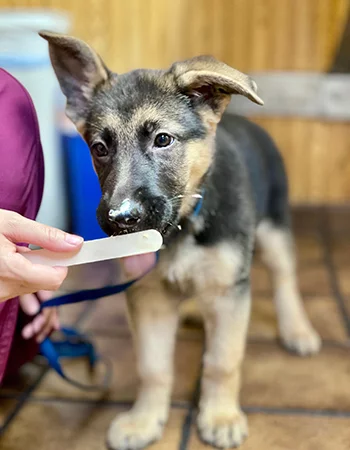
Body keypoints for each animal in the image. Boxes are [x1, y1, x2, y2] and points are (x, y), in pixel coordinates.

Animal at [39, 31, 322, 450]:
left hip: (274, 228)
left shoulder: (228, 293)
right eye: (99, 148)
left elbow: (222, 362)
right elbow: (153, 367)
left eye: (163, 140)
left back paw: (297, 329)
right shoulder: (148, 298)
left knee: (285, 279)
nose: (121, 220)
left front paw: (220, 415)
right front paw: (144, 420)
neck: (184, 226)